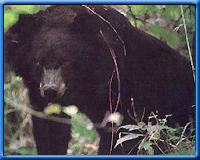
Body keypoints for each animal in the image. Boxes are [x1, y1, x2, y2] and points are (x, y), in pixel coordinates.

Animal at [5, 5, 195, 155]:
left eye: (66, 62)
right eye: (38, 62)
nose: (51, 89)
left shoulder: (121, 88)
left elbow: (121, 133)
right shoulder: (38, 93)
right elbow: (50, 129)